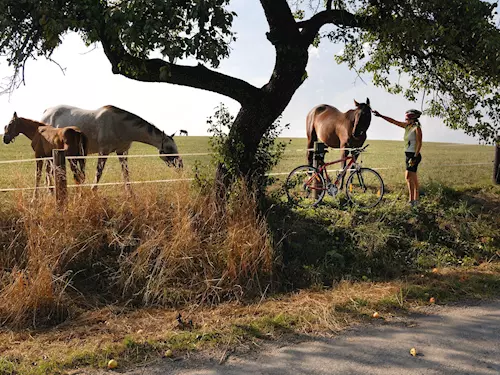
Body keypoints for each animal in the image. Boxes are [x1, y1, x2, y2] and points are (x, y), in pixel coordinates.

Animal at [40, 105, 183, 191]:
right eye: (169, 148)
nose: (180, 165)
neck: (120, 125)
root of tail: (46, 111)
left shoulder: (122, 152)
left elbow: (126, 175)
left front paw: (131, 196)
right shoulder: (104, 151)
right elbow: (99, 173)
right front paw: (92, 191)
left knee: (48, 172)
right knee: (48, 172)